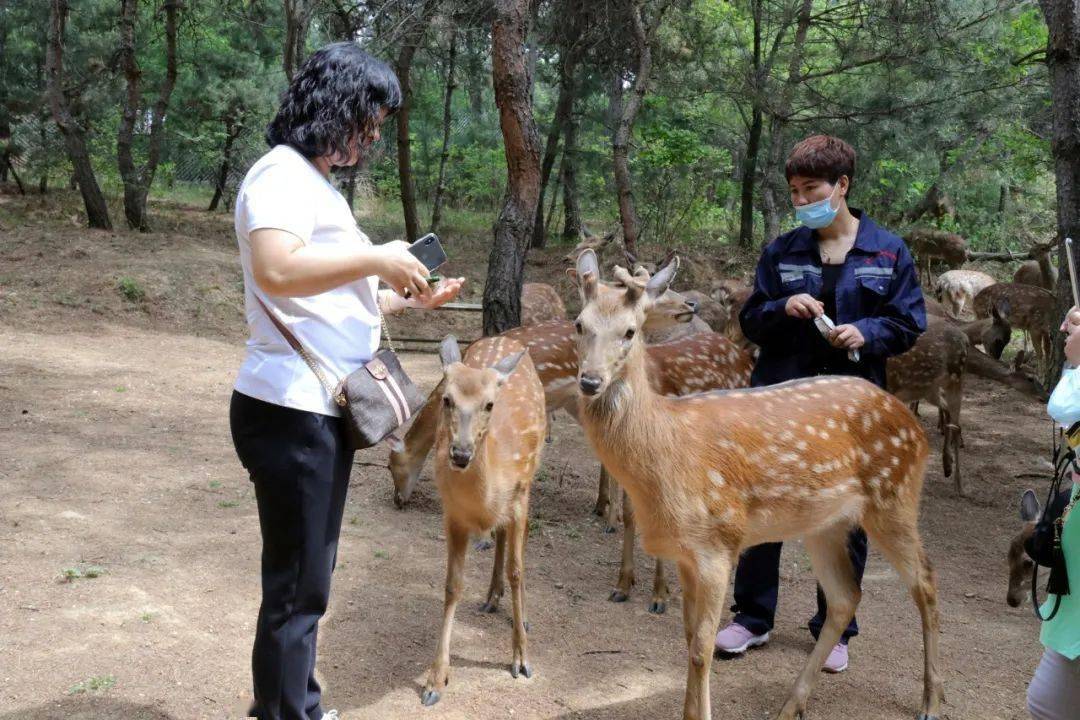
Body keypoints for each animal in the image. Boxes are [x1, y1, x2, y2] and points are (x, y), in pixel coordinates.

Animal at [416, 334, 544, 708]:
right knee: (499, 536)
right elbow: (452, 585)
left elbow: (518, 571)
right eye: (447, 399)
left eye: (489, 404)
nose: (460, 453)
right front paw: (435, 680)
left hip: (531, 480)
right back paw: (491, 596)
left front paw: (521, 659)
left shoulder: (518, 498)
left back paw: (519, 615)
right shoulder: (452, 515)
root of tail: (505, 338)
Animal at [570, 250, 941, 720]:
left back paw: (931, 700)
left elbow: (701, 649)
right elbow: (688, 639)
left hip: (895, 495)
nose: (590, 381)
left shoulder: (719, 543)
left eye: (630, 331)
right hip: (826, 523)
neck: (666, 451)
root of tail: (916, 428)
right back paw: (792, 704)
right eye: (579, 324)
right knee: (844, 598)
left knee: (925, 583)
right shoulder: (685, 553)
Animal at [885, 319, 1045, 496]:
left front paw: (947, 461)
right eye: (1030, 378)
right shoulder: (949, 382)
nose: (1046, 396)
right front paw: (955, 476)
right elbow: (954, 423)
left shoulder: (933, 388)